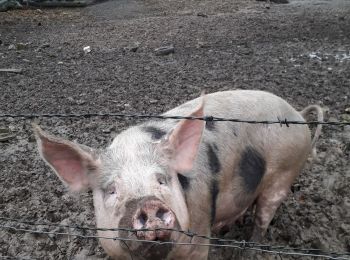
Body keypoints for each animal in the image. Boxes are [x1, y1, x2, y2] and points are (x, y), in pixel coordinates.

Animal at [32, 90, 322, 260]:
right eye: (112, 189)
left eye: (162, 180)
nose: (148, 204)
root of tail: (297, 115)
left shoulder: (198, 240)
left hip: (283, 175)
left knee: (263, 219)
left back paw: (247, 250)